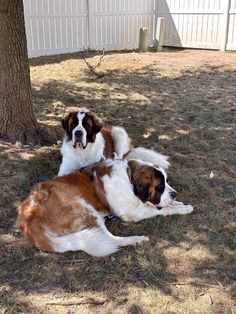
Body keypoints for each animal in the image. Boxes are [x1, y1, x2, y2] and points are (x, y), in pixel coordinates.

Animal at [17, 158, 194, 256]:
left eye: (167, 182)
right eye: (159, 186)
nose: (175, 194)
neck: (128, 177)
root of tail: (28, 222)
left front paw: (179, 203)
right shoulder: (130, 213)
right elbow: (162, 209)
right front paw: (183, 208)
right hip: (86, 209)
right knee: (112, 239)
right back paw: (136, 239)